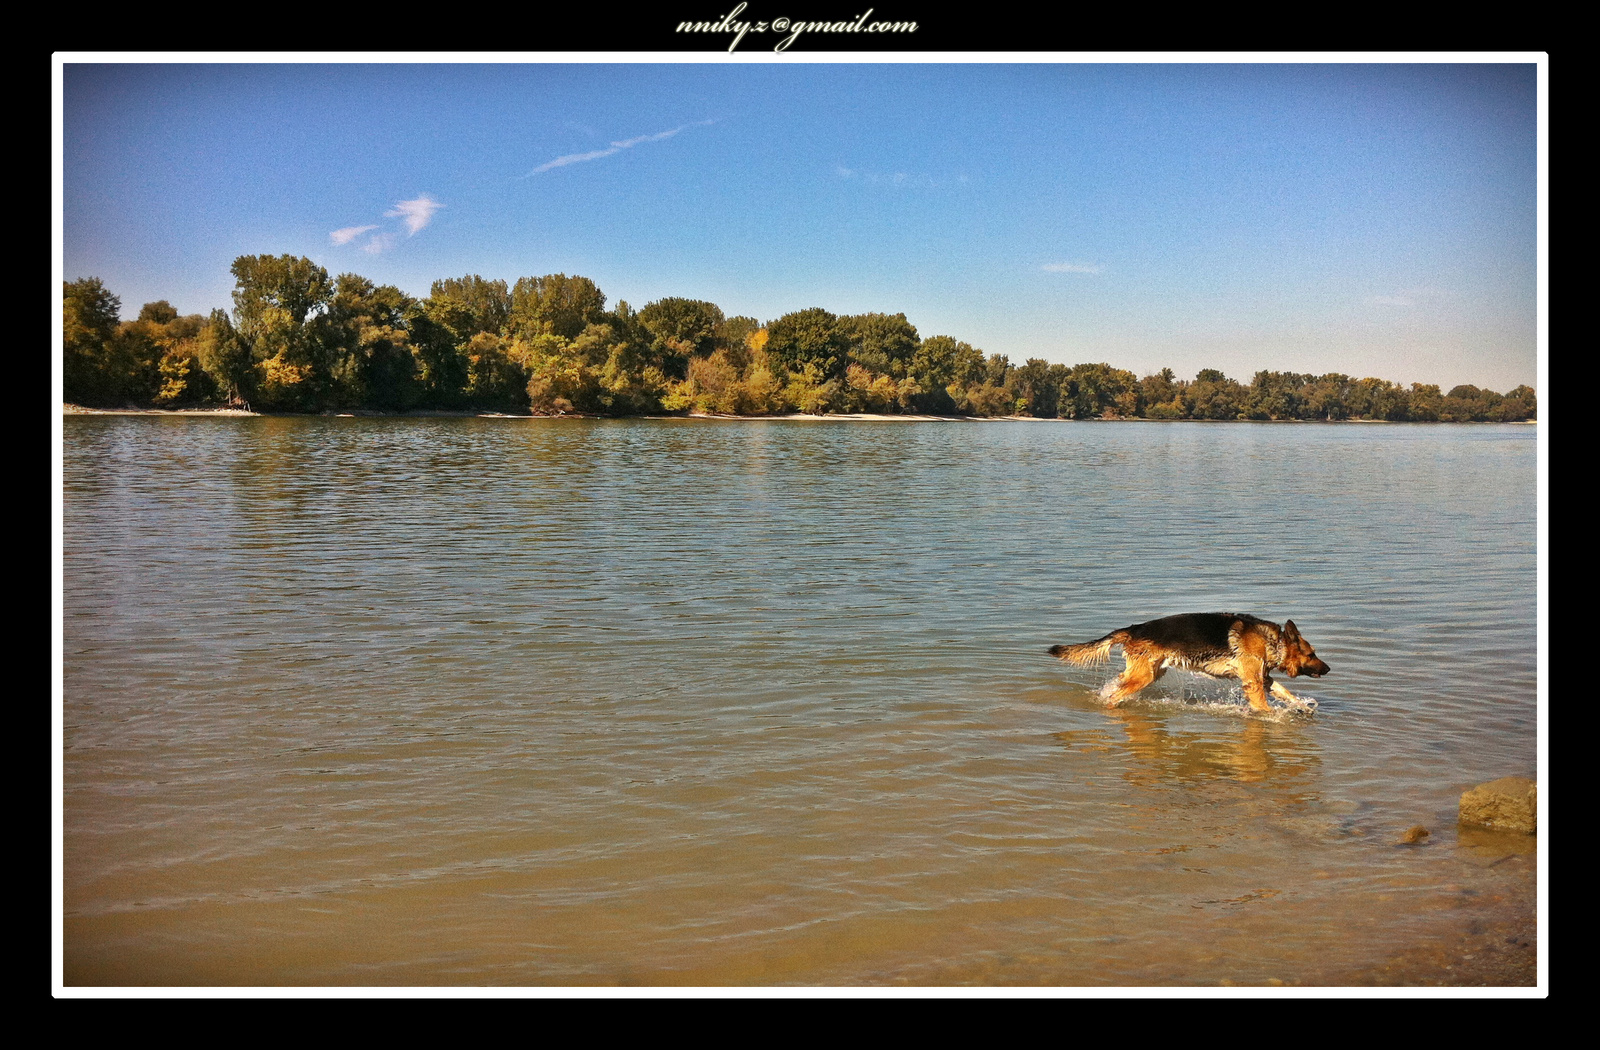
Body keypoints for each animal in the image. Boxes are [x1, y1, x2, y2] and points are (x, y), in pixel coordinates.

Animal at [1056, 614, 1331, 713]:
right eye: (1312, 654)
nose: (1328, 669)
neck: (1273, 642)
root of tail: (1134, 629)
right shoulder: (1253, 683)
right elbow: (1265, 708)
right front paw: (1274, 718)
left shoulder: (1263, 680)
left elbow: (1286, 693)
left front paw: (1303, 708)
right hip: (1143, 676)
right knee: (1114, 695)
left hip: (1150, 673)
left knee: (1116, 685)